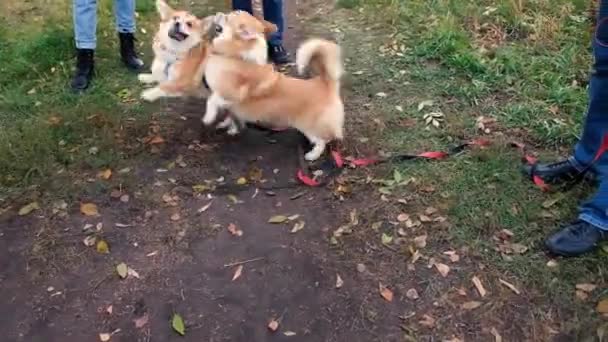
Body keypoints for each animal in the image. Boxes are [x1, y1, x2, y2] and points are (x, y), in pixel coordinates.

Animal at [203, 14, 344, 160]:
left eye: (228, 17)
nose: (218, 14)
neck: (237, 56)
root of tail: (325, 83)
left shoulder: (231, 94)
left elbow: (212, 100)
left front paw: (208, 117)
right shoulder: (232, 105)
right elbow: (231, 116)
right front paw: (230, 127)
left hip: (307, 126)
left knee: (322, 140)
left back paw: (312, 155)